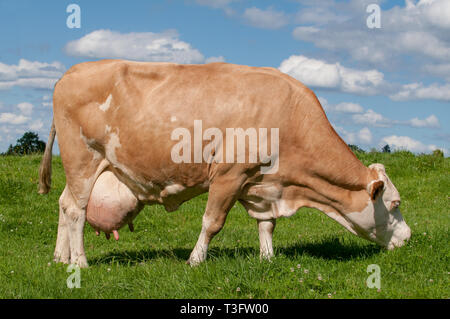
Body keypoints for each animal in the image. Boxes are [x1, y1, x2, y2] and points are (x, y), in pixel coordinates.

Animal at [38, 59, 412, 268]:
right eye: (394, 203)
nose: (409, 237)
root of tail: (70, 72)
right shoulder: (228, 175)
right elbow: (212, 222)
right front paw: (195, 260)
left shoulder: (260, 184)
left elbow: (266, 225)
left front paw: (267, 259)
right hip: (82, 159)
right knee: (76, 210)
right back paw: (80, 263)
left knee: (63, 204)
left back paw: (60, 258)